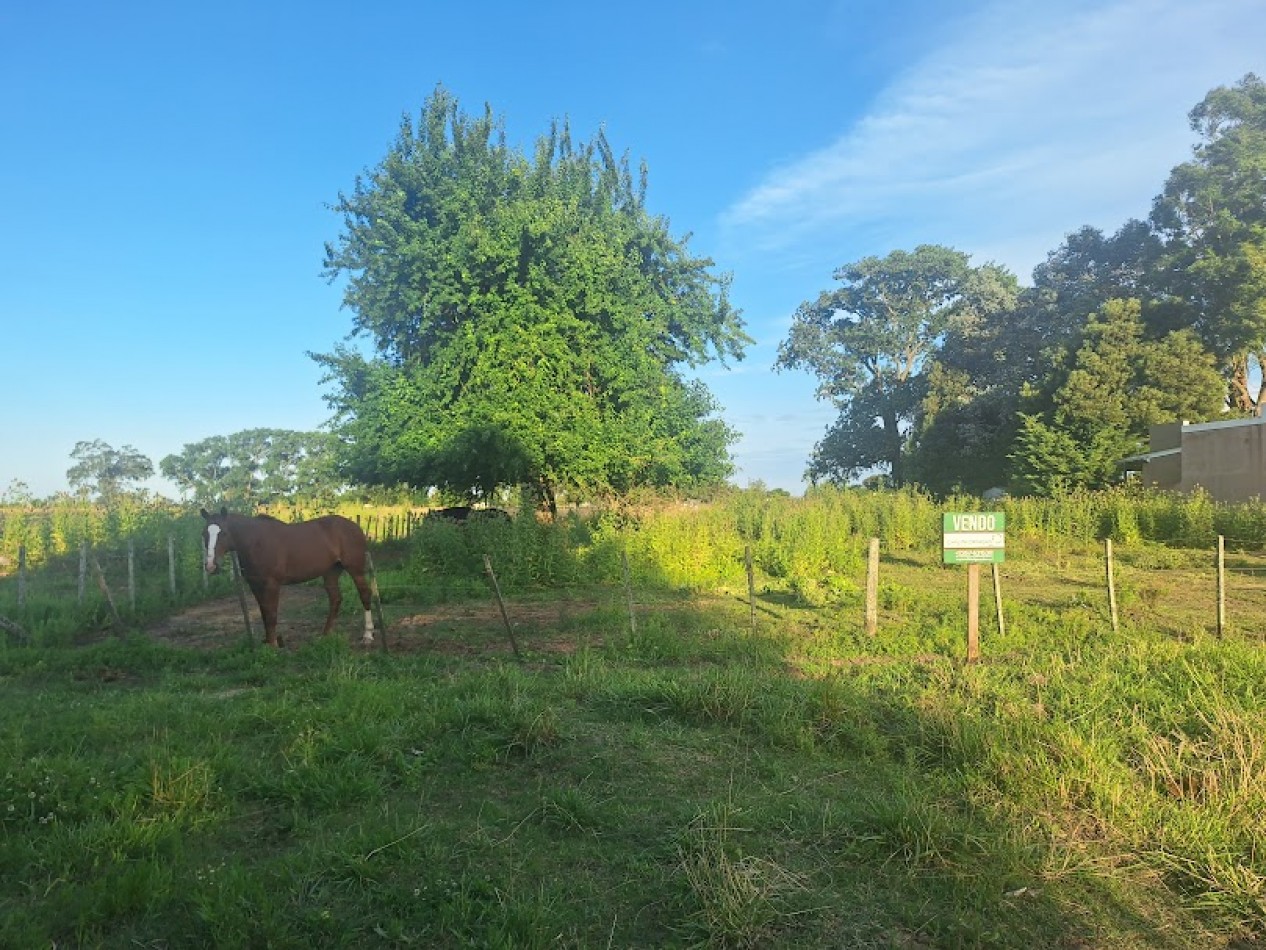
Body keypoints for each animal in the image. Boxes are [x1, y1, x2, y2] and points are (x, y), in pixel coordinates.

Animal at [200, 509, 372, 653]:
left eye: (223, 533)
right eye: (204, 534)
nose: (211, 566)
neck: (256, 542)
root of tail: (356, 527)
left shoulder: (272, 585)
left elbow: (271, 615)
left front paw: (273, 646)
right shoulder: (255, 586)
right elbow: (264, 613)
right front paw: (268, 642)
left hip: (355, 571)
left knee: (365, 595)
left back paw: (368, 636)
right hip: (331, 573)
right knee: (336, 599)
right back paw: (325, 635)